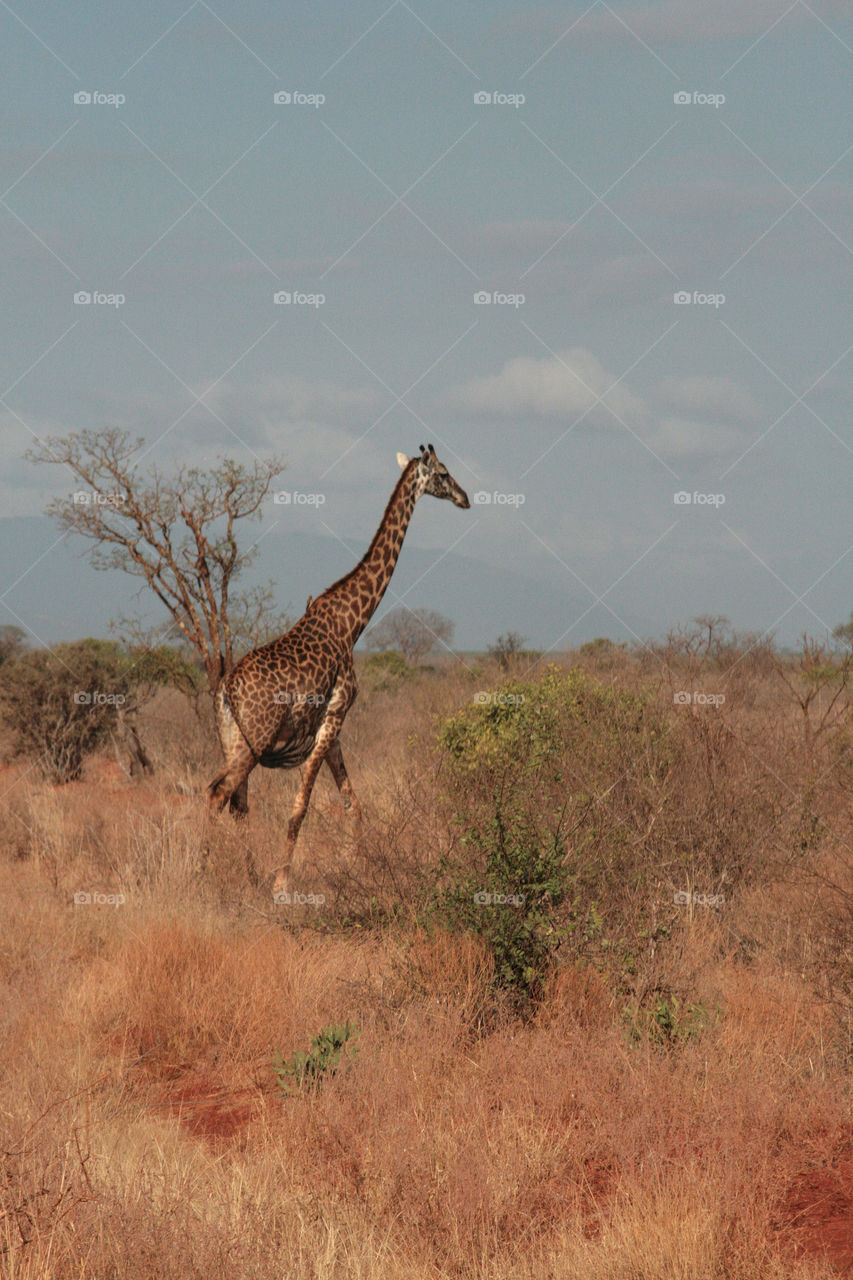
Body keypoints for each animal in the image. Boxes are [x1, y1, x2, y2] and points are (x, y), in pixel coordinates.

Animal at [207, 443, 469, 899]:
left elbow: (353, 803)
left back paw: (246, 877)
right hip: (255, 740)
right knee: (218, 795)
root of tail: (227, 688)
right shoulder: (334, 715)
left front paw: (356, 867)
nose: (465, 498)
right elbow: (301, 806)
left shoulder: (332, 729)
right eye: (443, 473)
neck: (352, 623)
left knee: (237, 803)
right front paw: (282, 882)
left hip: (234, 738)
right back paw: (203, 872)